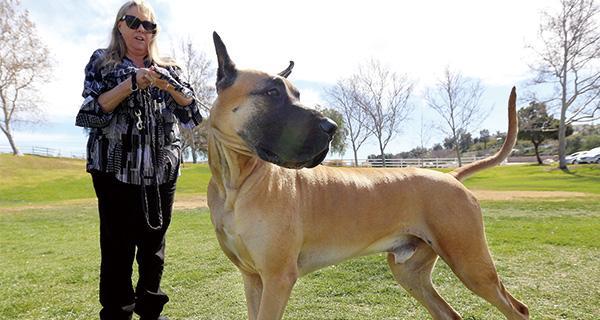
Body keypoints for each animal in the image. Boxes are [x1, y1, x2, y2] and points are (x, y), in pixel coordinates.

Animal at [207, 31, 528, 320]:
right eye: (271, 92)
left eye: (297, 94)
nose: (331, 127)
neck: (236, 183)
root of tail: (451, 175)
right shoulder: (253, 278)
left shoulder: (277, 278)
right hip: (410, 272)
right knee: (449, 313)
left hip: (471, 263)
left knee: (518, 309)